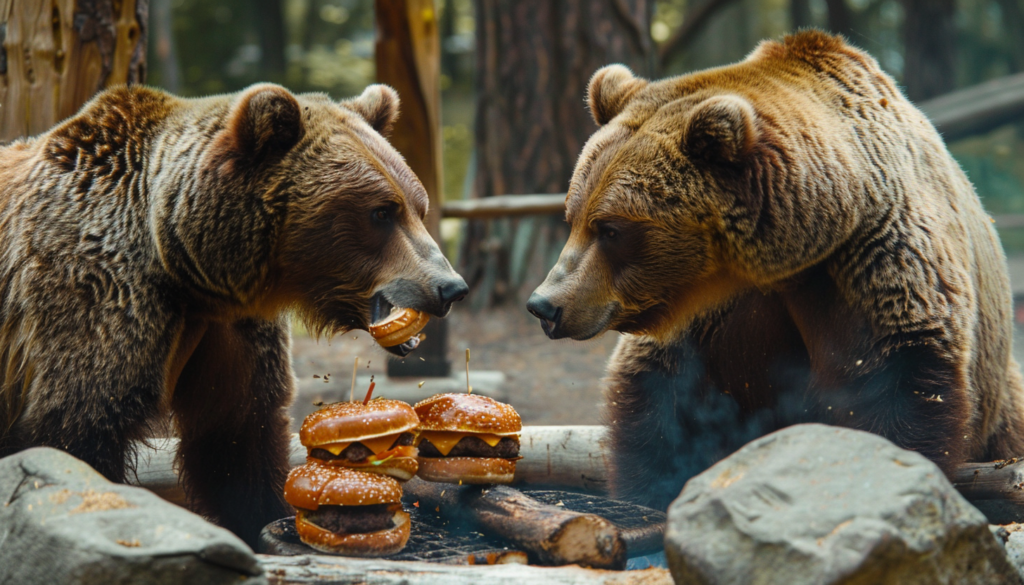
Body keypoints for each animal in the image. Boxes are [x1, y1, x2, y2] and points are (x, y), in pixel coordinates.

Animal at [528, 29, 1024, 510]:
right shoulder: (710, 313)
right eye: (572, 217)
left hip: (1003, 402)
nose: (545, 305)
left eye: (611, 229)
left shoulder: (870, 267)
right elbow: (661, 402)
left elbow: (896, 390)